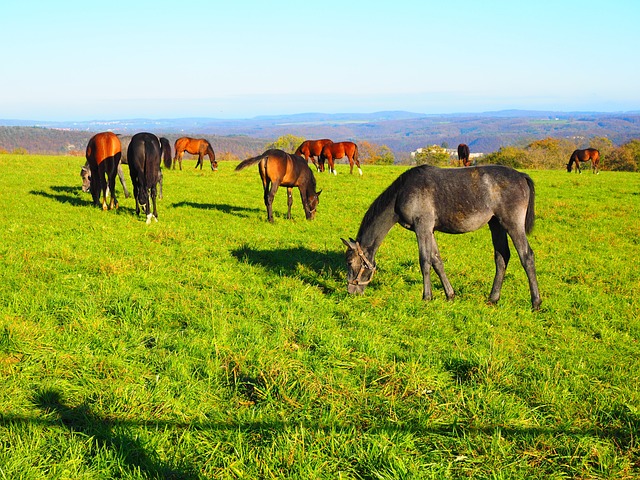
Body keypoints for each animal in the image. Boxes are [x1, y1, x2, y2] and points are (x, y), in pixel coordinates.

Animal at [342, 163, 544, 310]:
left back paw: (535, 302)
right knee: (502, 257)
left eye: (350, 263)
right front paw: (450, 295)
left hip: (512, 225)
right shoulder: (429, 230)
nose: (351, 291)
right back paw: (493, 298)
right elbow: (437, 261)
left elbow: (425, 261)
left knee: (527, 257)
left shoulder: (422, 227)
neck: (402, 193)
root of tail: (521, 176)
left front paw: (427, 297)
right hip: (496, 225)